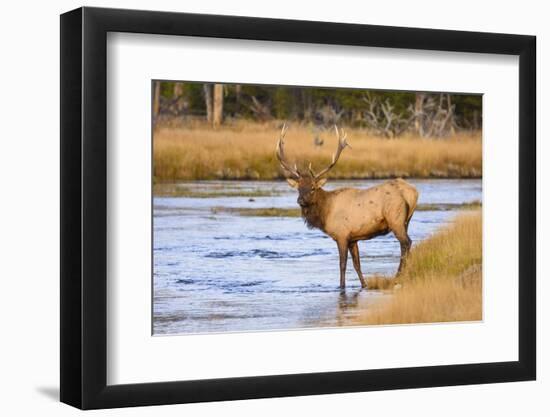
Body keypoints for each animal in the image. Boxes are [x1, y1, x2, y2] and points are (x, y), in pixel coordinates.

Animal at [278, 122, 420, 288]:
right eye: (299, 188)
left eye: (313, 188)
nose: (300, 200)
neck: (326, 212)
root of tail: (413, 192)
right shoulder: (353, 239)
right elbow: (357, 264)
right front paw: (364, 285)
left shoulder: (342, 235)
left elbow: (342, 264)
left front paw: (341, 286)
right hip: (406, 221)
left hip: (395, 219)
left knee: (406, 243)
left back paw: (398, 275)